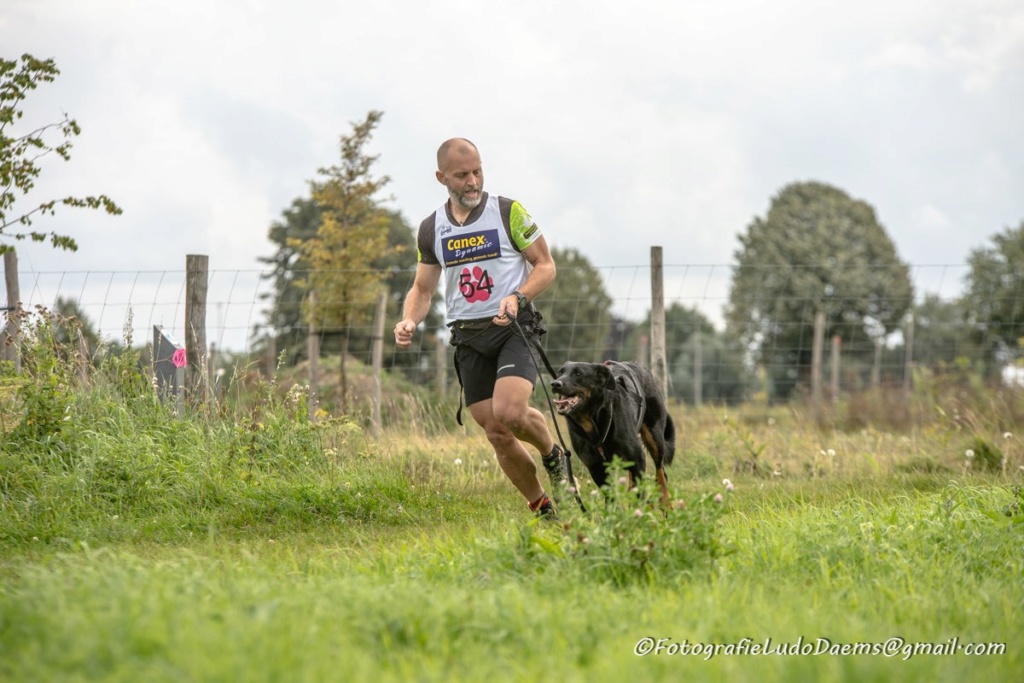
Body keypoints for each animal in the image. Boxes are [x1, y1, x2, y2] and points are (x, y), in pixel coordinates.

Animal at [548, 362, 675, 501]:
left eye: (578, 373)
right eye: (560, 373)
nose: (555, 384)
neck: (594, 422)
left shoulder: (638, 459)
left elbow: (638, 493)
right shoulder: (595, 467)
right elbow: (610, 496)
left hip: (655, 438)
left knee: (660, 472)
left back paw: (665, 501)